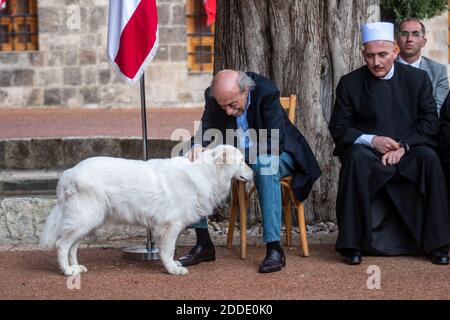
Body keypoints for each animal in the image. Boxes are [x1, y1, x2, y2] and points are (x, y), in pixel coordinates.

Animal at [39, 144, 253, 276]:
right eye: (242, 160)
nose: (253, 172)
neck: (208, 171)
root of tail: (69, 173)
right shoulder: (170, 225)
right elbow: (168, 251)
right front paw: (173, 269)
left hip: (89, 221)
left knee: (73, 246)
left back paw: (76, 267)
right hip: (85, 218)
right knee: (62, 244)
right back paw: (67, 271)